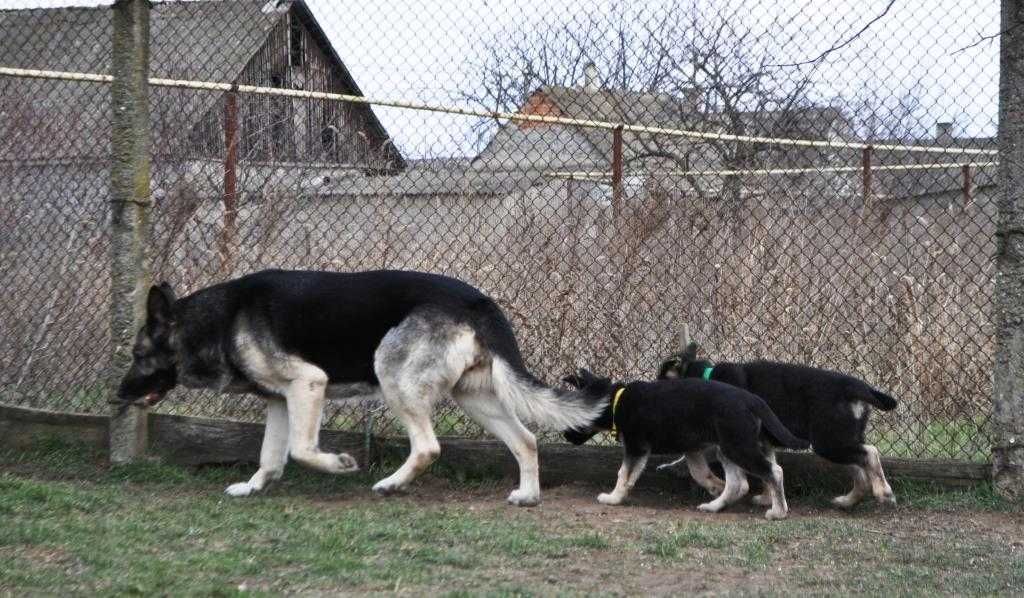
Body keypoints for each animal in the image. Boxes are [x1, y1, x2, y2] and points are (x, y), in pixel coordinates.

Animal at [116, 270, 602, 503]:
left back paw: (390, 484)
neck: (218, 320)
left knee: (428, 447)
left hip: (392, 375)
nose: (115, 397)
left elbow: (301, 450)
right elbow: (270, 456)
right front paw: (254, 488)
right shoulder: (280, 401)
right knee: (526, 440)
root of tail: (478, 301)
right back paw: (529, 495)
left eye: (138, 355)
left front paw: (339, 464)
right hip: (475, 398)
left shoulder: (309, 384)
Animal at [561, 368, 806, 518]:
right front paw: (715, 486)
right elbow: (699, 473)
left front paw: (613, 498)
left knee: (773, 471)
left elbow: (624, 474)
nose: (565, 437)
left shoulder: (636, 447)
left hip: (737, 446)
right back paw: (716, 505)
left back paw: (778, 512)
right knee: (740, 483)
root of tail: (753, 400)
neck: (615, 401)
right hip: (729, 447)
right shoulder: (692, 449)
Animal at [659, 342, 901, 509]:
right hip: (842, 438)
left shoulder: (732, 438)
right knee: (859, 469)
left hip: (829, 441)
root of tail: (857, 388)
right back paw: (847, 501)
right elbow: (769, 469)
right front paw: (768, 498)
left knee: (870, 453)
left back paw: (884, 492)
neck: (706, 377)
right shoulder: (761, 443)